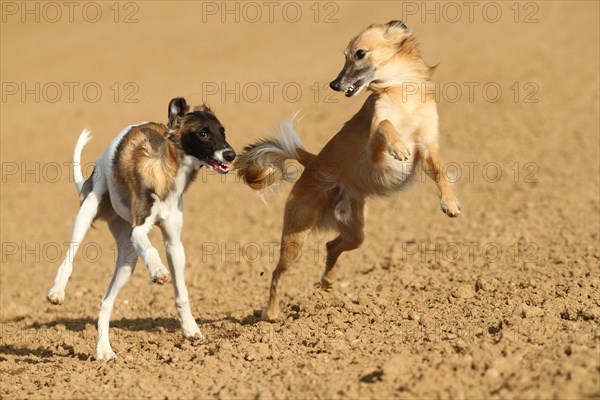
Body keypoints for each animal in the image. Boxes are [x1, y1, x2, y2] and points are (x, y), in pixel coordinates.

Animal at [47, 97, 236, 360]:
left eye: (222, 131)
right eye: (203, 133)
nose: (231, 155)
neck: (168, 171)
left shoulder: (174, 244)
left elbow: (182, 293)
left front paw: (191, 330)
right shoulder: (138, 228)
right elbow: (152, 249)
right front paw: (158, 271)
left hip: (128, 259)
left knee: (105, 302)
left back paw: (104, 350)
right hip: (88, 212)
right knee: (68, 258)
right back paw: (57, 292)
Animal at [234, 21, 460, 322]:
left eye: (360, 53)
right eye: (345, 56)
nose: (334, 84)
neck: (401, 92)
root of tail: (312, 161)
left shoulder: (427, 149)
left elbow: (441, 172)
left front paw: (450, 203)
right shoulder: (374, 151)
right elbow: (385, 125)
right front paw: (399, 146)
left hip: (355, 232)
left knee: (331, 246)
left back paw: (327, 281)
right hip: (295, 236)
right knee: (276, 273)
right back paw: (270, 313)